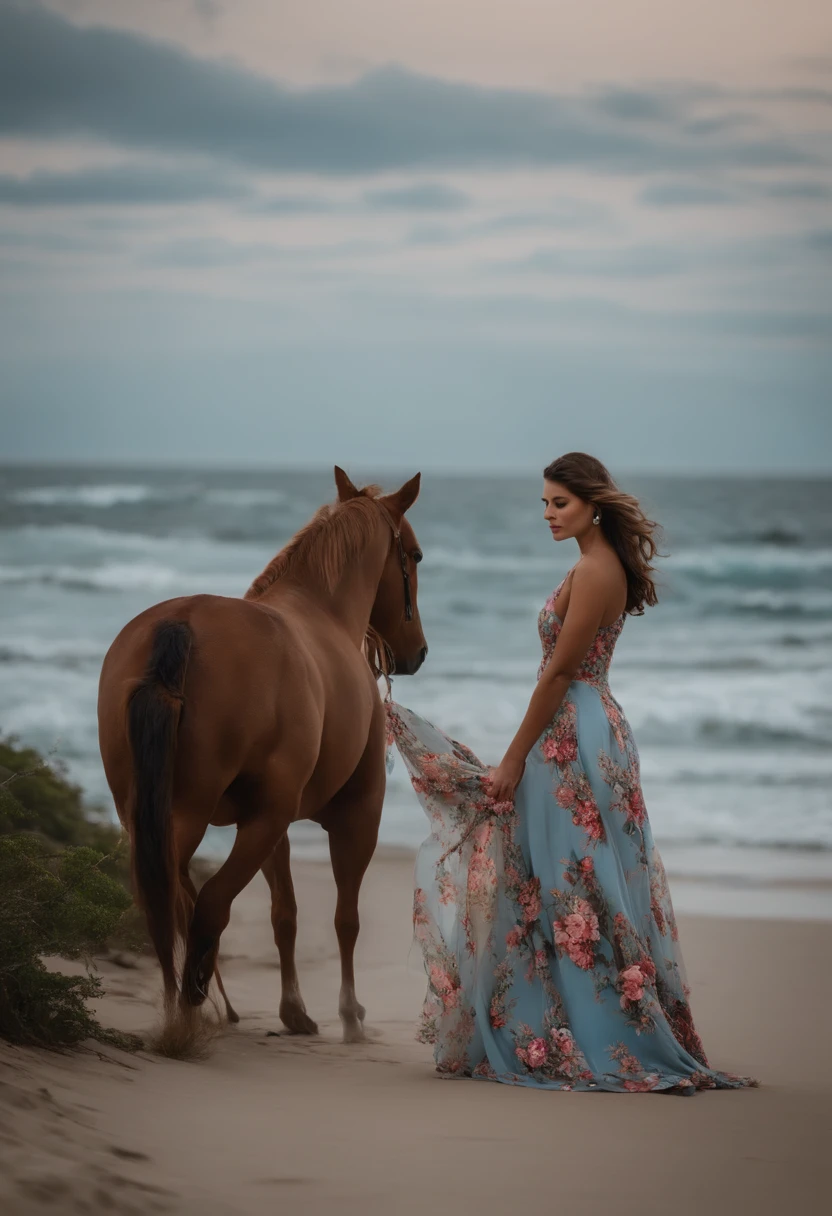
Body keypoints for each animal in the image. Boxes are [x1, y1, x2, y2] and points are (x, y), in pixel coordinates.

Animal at [96, 469, 428, 1040]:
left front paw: (295, 1010)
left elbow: (284, 914)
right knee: (207, 905)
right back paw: (191, 1013)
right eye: (415, 555)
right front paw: (350, 1014)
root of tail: (180, 624)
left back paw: (185, 1010)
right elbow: (346, 919)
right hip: (230, 818)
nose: (418, 653)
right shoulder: (357, 815)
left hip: (164, 818)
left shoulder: (275, 823)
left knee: (167, 905)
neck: (325, 611)